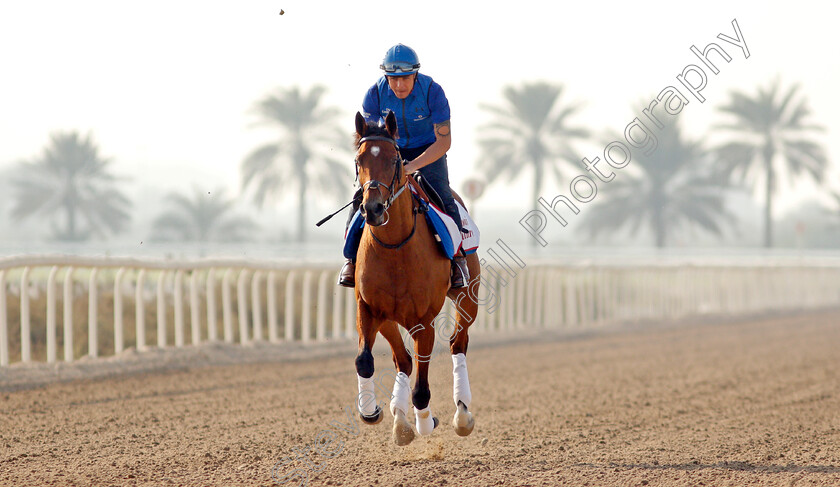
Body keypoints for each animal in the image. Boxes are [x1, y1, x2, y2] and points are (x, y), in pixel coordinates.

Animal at [348, 110, 480, 446]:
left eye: (395, 159)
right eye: (359, 159)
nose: (373, 208)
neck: (396, 247)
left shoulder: (424, 320)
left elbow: (422, 388)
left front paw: (425, 422)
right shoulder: (368, 309)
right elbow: (364, 360)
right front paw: (372, 411)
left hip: (468, 298)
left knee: (458, 343)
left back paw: (462, 415)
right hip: (388, 319)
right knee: (404, 360)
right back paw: (400, 418)